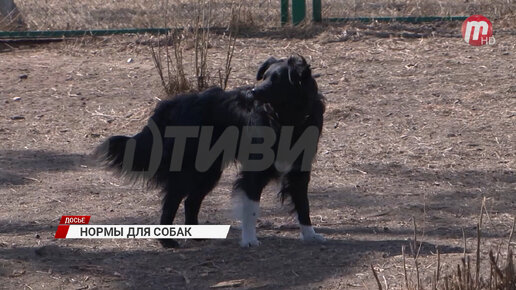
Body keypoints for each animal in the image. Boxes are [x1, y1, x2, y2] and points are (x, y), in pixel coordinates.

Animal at [94, 55, 324, 248]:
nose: (253, 92)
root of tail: (170, 105)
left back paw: (196, 235)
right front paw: (249, 240)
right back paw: (167, 242)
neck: (286, 118)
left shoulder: (300, 170)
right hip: (188, 170)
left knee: (191, 201)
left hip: (208, 170)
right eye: (265, 76)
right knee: (171, 202)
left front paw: (310, 235)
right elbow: (251, 208)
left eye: (277, 79)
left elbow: (304, 204)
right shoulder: (254, 171)